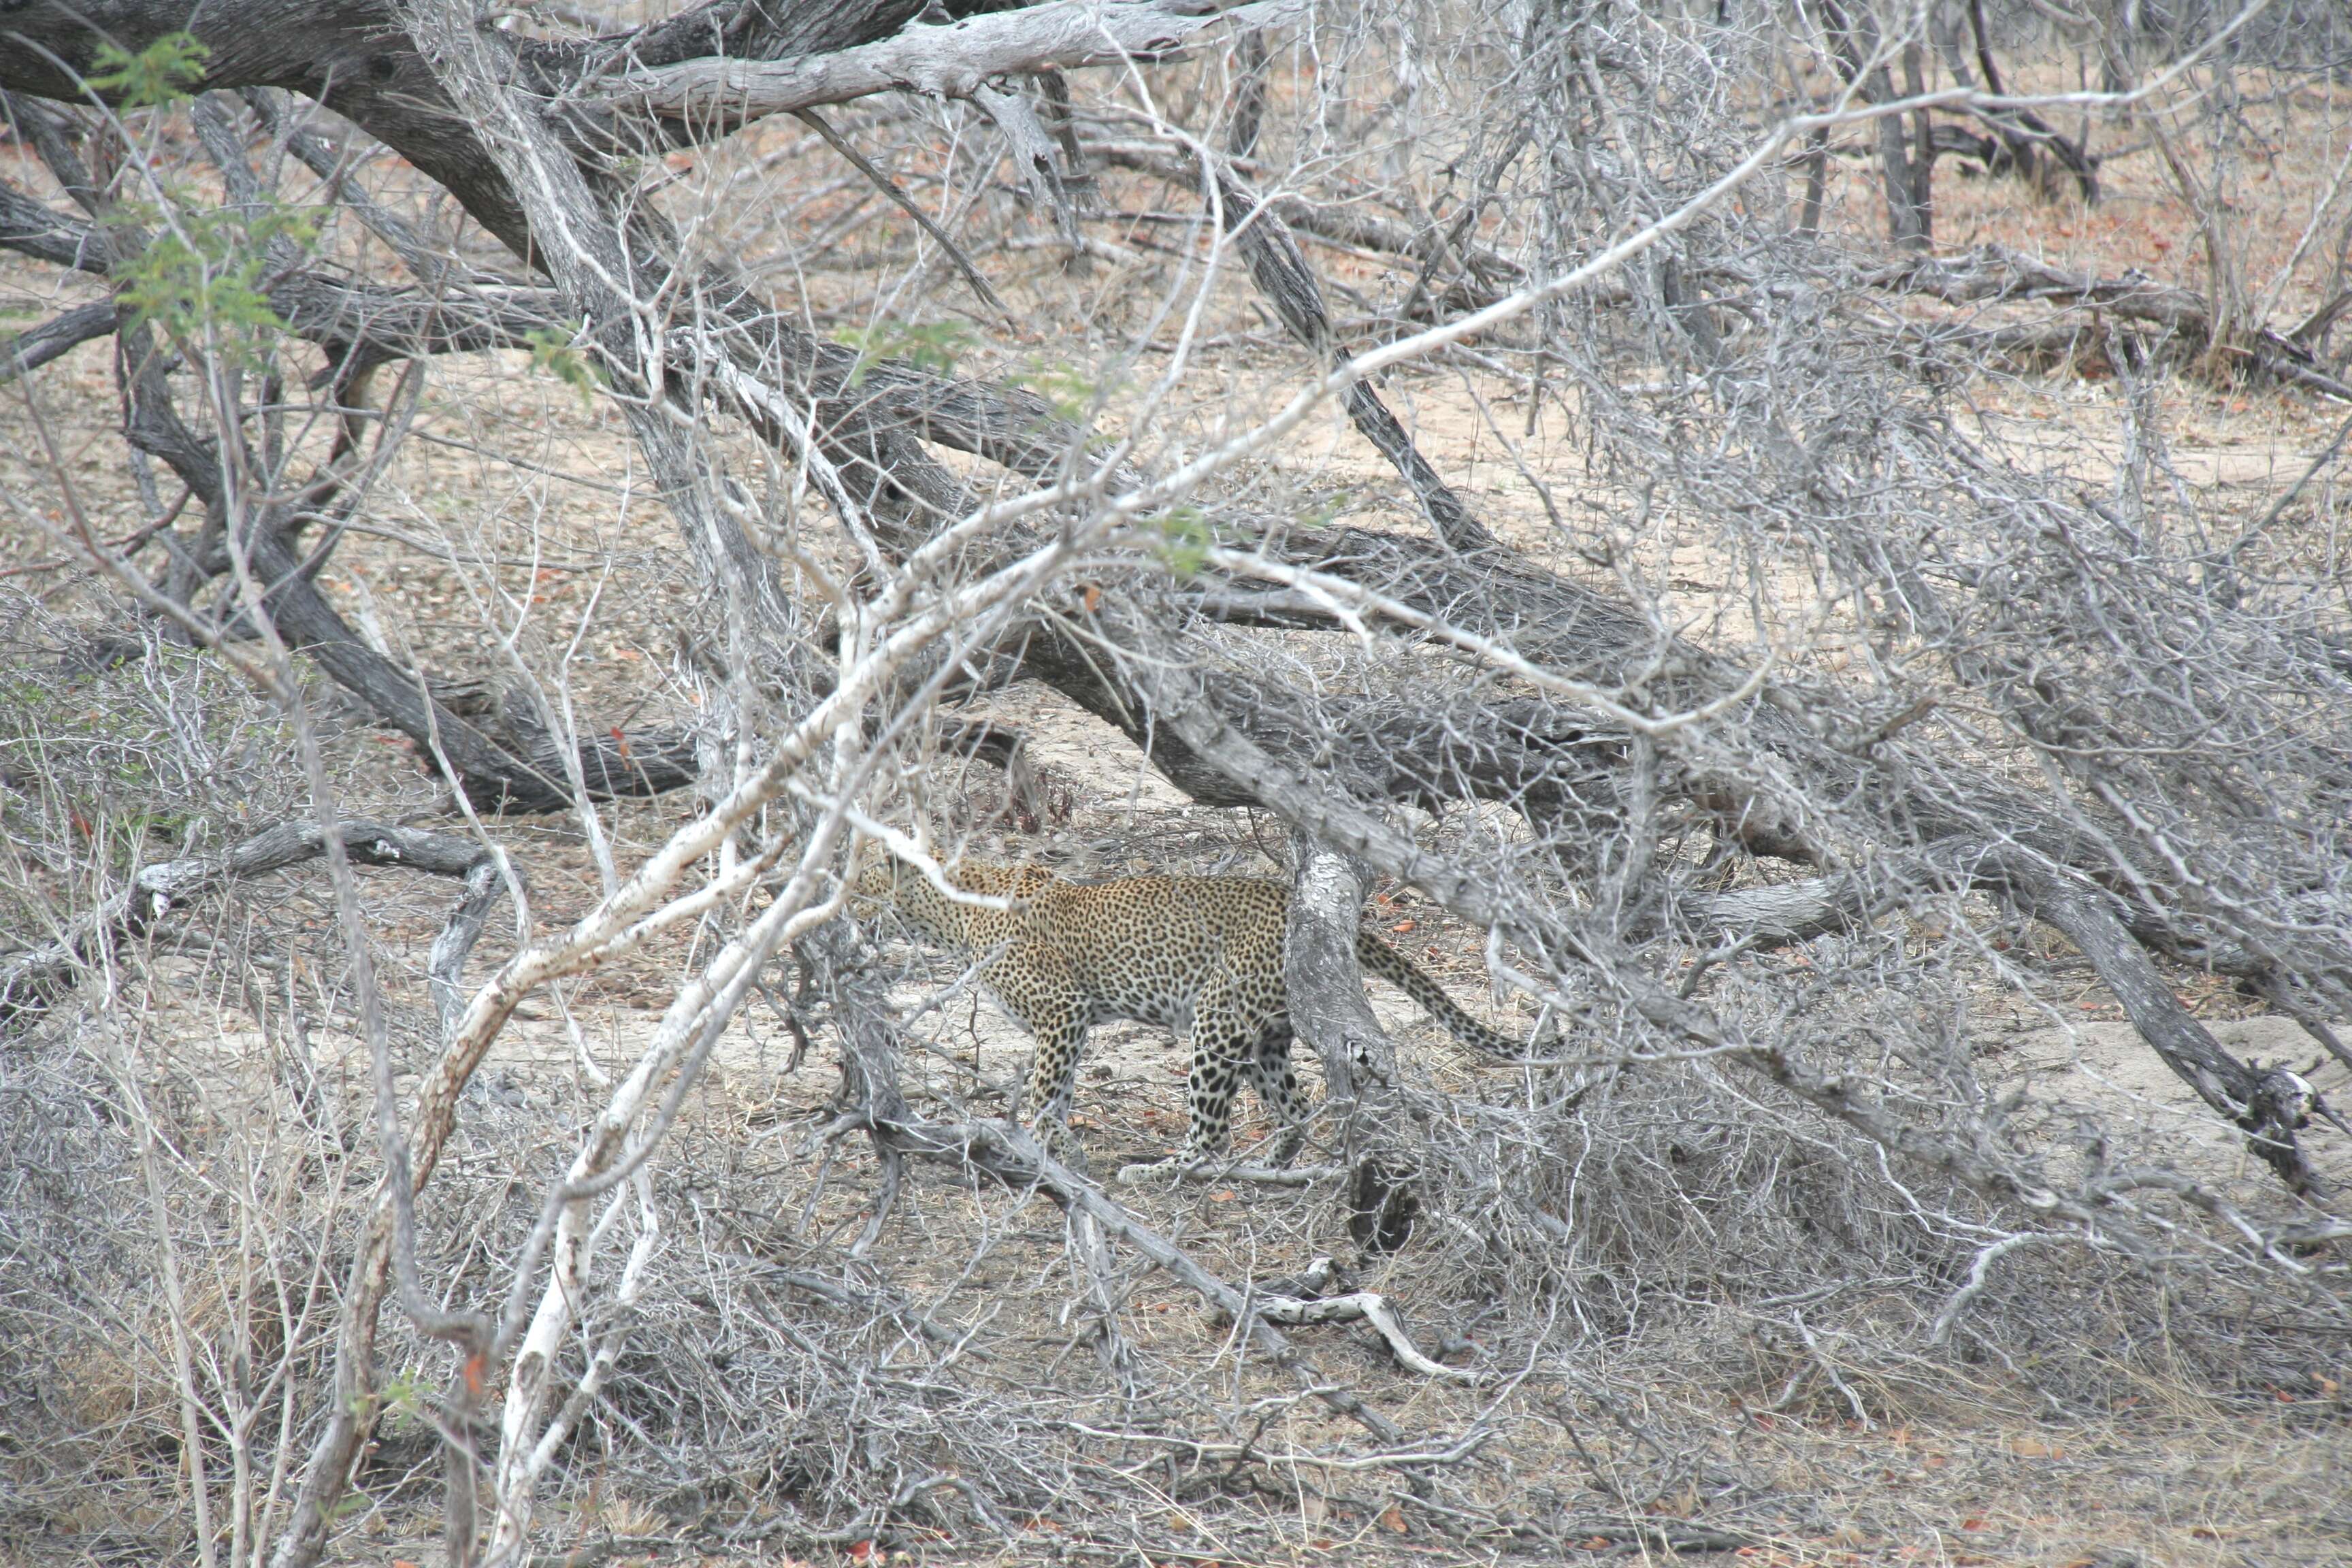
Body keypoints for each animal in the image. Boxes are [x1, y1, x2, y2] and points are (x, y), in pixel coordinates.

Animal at [851, 860, 1524, 1166]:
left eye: (858, 886)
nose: (845, 914)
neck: (949, 911)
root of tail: (1287, 898)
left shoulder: (1061, 1011)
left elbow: (1044, 1093)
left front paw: (1048, 1149)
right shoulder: (1068, 1025)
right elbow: (1059, 1092)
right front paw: (1061, 1151)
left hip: (1216, 1018)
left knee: (1211, 1134)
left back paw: (1165, 1170)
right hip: (1263, 1036)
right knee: (1294, 1107)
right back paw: (1271, 1168)